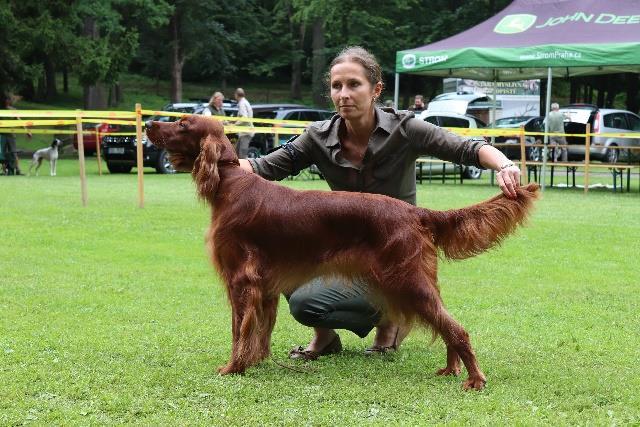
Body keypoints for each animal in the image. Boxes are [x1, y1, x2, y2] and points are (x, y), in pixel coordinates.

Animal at [146, 115, 540, 390]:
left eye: (182, 123)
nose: (149, 123)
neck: (229, 182)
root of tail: (416, 213)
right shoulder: (264, 285)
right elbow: (259, 330)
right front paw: (254, 362)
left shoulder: (241, 280)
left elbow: (237, 330)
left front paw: (232, 368)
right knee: (445, 323)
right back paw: (451, 367)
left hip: (407, 280)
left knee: (456, 328)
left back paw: (474, 378)